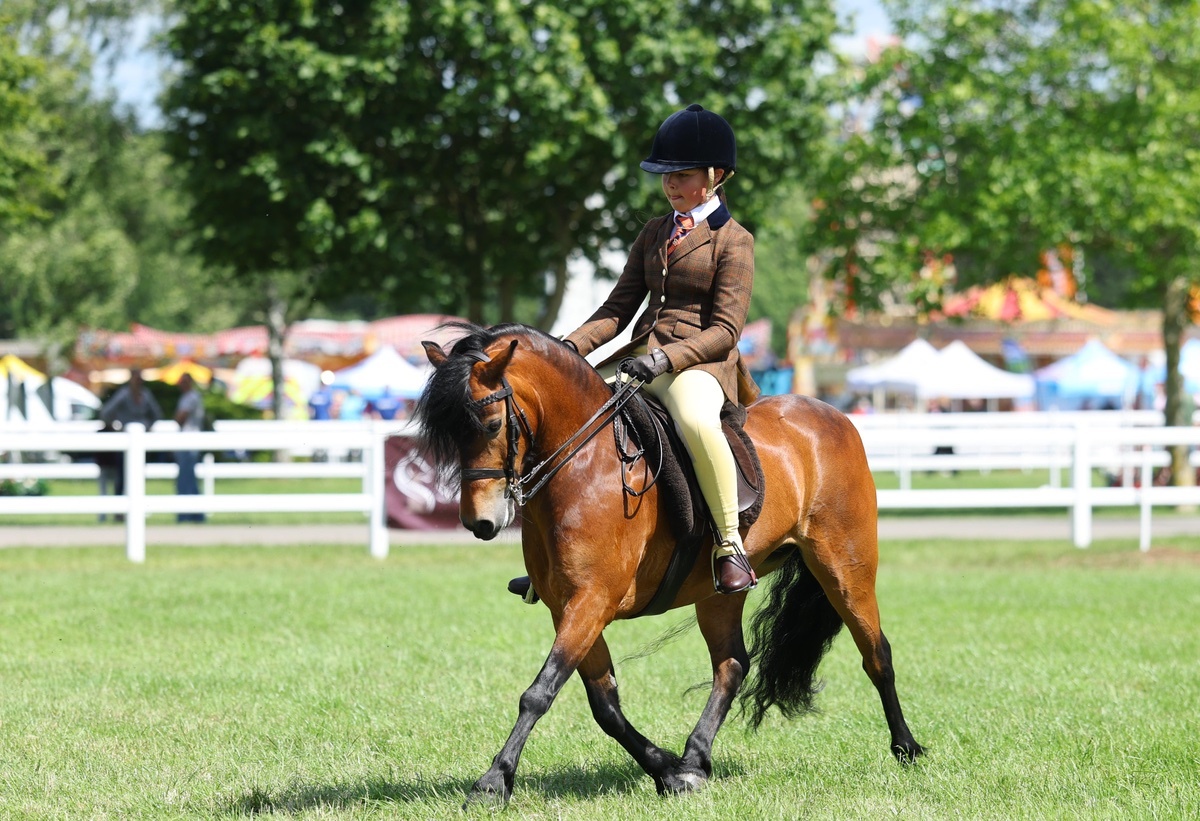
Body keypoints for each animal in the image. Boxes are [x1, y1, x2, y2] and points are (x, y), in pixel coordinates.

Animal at [415, 322, 923, 807]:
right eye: (449, 434)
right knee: (732, 664)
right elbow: (605, 706)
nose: (479, 522)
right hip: (719, 591)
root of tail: (831, 415)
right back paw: (696, 757)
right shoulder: (568, 607)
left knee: (876, 652)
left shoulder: (591, 600)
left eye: (491, 424)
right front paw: (670, 772)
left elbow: (538, 693)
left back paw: (907, 748)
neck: (585, 465)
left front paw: (493, 782)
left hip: (845, 567)